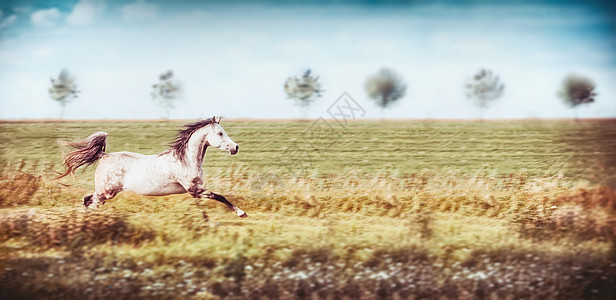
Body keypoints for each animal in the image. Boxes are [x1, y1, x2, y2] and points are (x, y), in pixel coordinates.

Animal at [56, 116, 247, 218]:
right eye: (220, 133)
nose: (236, 147)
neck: (185, 160)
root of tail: (104, 155)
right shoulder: (195, 190)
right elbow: (221, 197)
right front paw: (241, 213)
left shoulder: (196, 192)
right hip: (106, 192)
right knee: (88, 200)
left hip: (105, 193)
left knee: (88, 201)